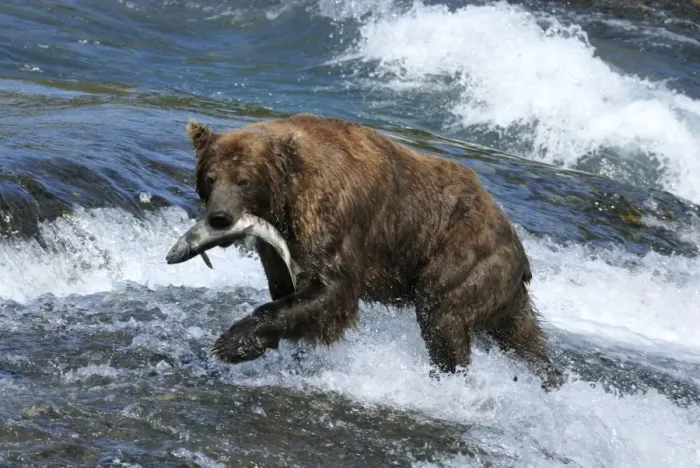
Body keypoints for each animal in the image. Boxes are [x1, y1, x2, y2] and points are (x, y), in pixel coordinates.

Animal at [185, 113, 563, 391]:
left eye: (244, 179)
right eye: (210, 177)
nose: (220, 217)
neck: (284, 203)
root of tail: (518, 247)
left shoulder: (330, 215)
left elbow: (331, 289)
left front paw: (229, 344)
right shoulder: (280, 245)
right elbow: (287, 289)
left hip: (463, 255)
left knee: (443, 317)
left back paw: (446, 378)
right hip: (502, 288)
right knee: (524, 338)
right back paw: (549, 378)